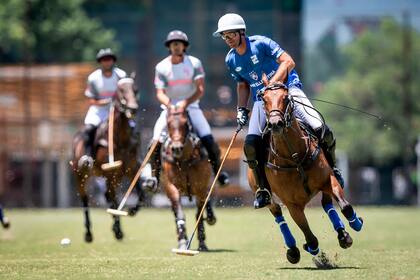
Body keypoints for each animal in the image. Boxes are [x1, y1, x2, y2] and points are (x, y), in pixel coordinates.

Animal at [71, 77, 144, 243]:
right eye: (121, 90)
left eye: (136, 89)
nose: (133, 108)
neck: (121, 139)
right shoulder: (111, 173)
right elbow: (115, 201)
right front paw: (118, 230)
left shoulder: (132, 169)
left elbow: (141, 194)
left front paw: (131, 211)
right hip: (80, 175)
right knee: (85, 199)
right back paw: (88, 233)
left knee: (108, 196)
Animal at [162, 106, 217, 250]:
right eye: (168, 124)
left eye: (185, 124)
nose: (176, 148)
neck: (185, 160)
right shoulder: (171, 187)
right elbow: (180, 213)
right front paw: (182, 241)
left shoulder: (201, 187)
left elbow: (199, 213)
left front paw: (202, 243)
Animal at [249, 82, 364, 266]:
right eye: (264, 100)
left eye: (286, 98)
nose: (275, 123)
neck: (294, 157)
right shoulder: (292, 203)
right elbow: (310, 237)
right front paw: (309, 248)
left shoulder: (327, 180)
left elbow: (345, 206)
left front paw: (356, 224)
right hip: (265, 194)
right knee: (277, 213)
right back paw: (293, 250)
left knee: (327, 203)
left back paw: (342, 234)